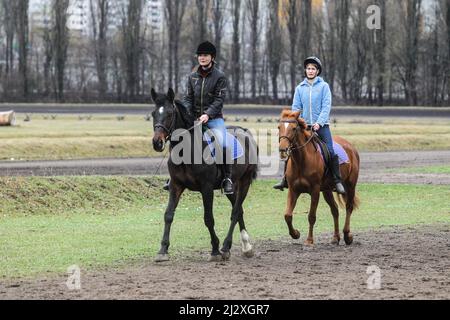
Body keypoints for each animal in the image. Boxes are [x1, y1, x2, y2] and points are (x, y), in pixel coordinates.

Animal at [151, 88, 258, 262]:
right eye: (153, 113)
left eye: (169, 114)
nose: (156, 142)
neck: (186, 151)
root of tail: (246, 133)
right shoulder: (176, 185)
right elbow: (168, 215)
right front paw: (163, 250)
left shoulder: (206, 188)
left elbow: (208, 218)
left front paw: (215, 249)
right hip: (232, 186)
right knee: (239, 210)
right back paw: (245, 247)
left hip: (245, 182)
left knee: (235, 212)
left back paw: (226, 247)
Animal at [278, 109, 358, 245]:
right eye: (279, 127)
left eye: (293, 128)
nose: (282, 149)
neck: (301, 161)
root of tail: (350, 147)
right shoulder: (293, 190)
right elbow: (287, 215)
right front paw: (296, 234)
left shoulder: (315, 191)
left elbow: (311, 216)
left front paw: (309, 240)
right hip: (327, 190)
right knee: (335, 210)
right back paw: (335, 238)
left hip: (350, 185)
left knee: (349, 207)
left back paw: (347, 235)